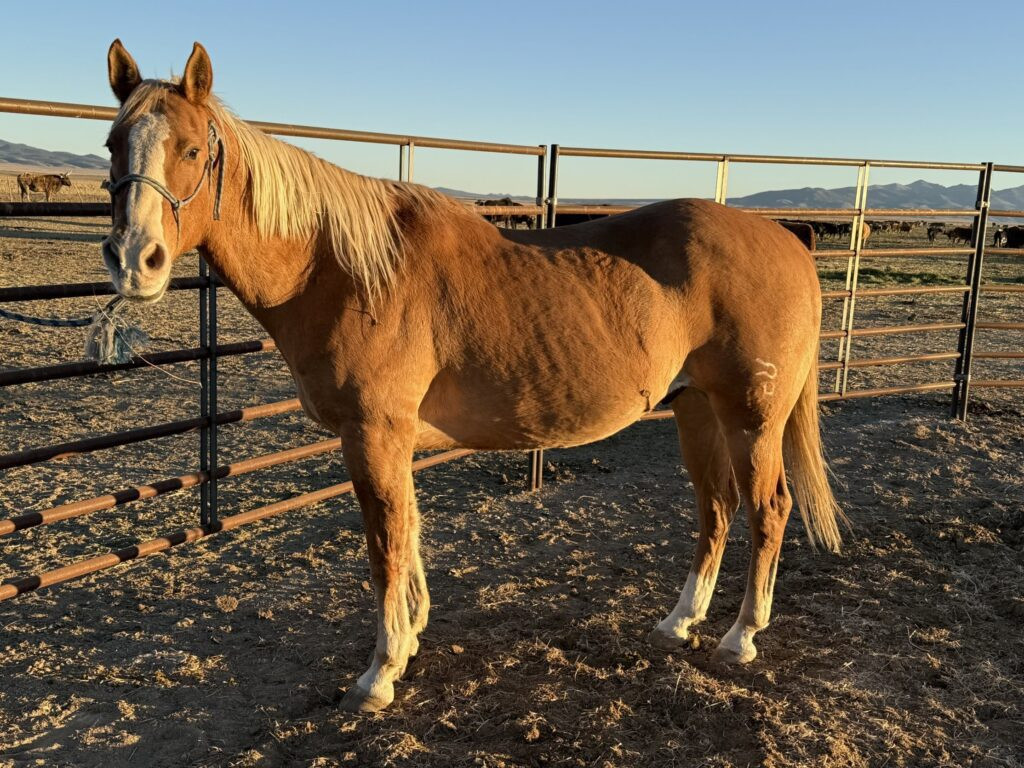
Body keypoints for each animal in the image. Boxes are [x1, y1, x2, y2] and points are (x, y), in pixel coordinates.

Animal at [102, 39, 844, 713]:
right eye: (112, 146)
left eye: (191, 150)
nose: (135, 259)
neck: (341, 269)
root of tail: (787, 239)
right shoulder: (393, 440)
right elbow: (408, 532)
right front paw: (408, 641)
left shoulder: (371, 435)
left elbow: (385, 544)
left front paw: (379, 673)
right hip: (696, 409)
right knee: (716, 508)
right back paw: (679, 622)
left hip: (751, 415)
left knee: (768, 509)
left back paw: (741, 636)